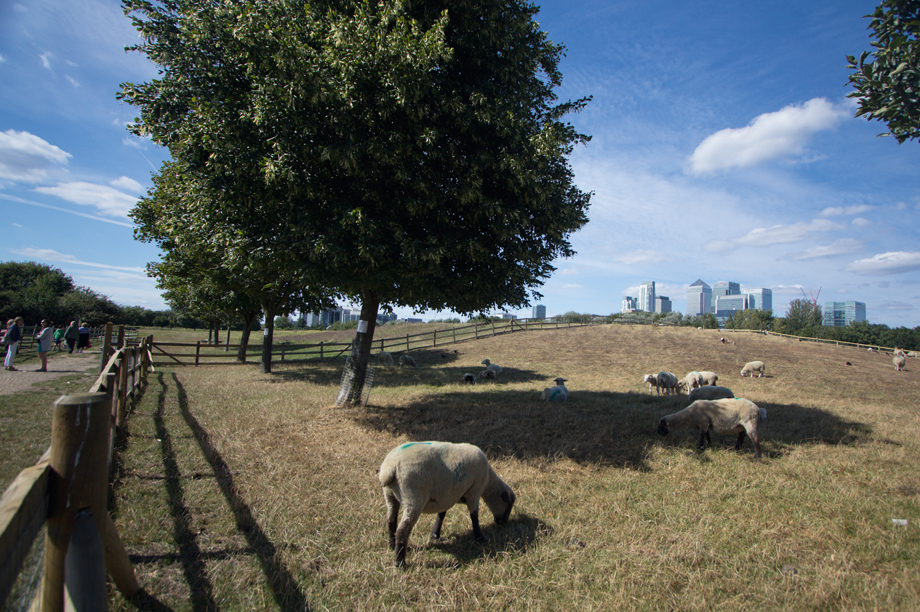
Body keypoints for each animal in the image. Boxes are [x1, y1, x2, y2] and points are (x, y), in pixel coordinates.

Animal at [378, 442, 512, 568]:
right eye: (509, 505)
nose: (504, 523)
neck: (488, 481)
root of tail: (389, 468)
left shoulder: (446, 496)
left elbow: (441, 514)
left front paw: (435, 534)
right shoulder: (474, 491)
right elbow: (474, 516)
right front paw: (480, 538)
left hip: (389, 494)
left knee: (391, 520)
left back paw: (392, 545)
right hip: (413, 496)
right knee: (402, 529)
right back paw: (400, 563)